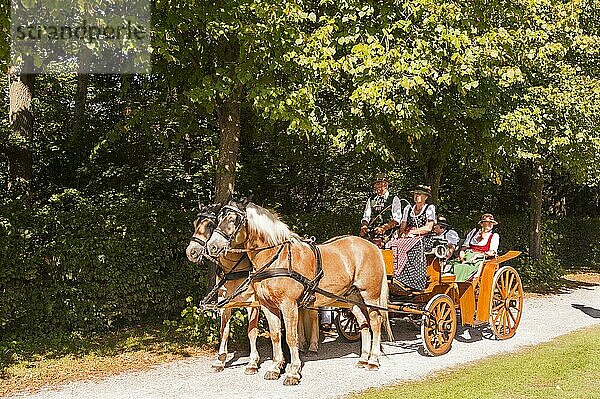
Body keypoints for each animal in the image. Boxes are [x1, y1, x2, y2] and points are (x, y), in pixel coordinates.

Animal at [206, 200, 392, 388]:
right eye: (219, 219)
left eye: (233, 219)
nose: (211, 246)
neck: (276, 258)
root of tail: (372, 246)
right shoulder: (267, 306)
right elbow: (275, 336)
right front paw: (275, 368)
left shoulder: (289, 305)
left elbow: (291, 337)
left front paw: (293, 372)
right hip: (352, 298)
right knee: (363, 324)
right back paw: (363, 359)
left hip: (370, 295)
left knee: (375, 323)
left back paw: (373, 360)